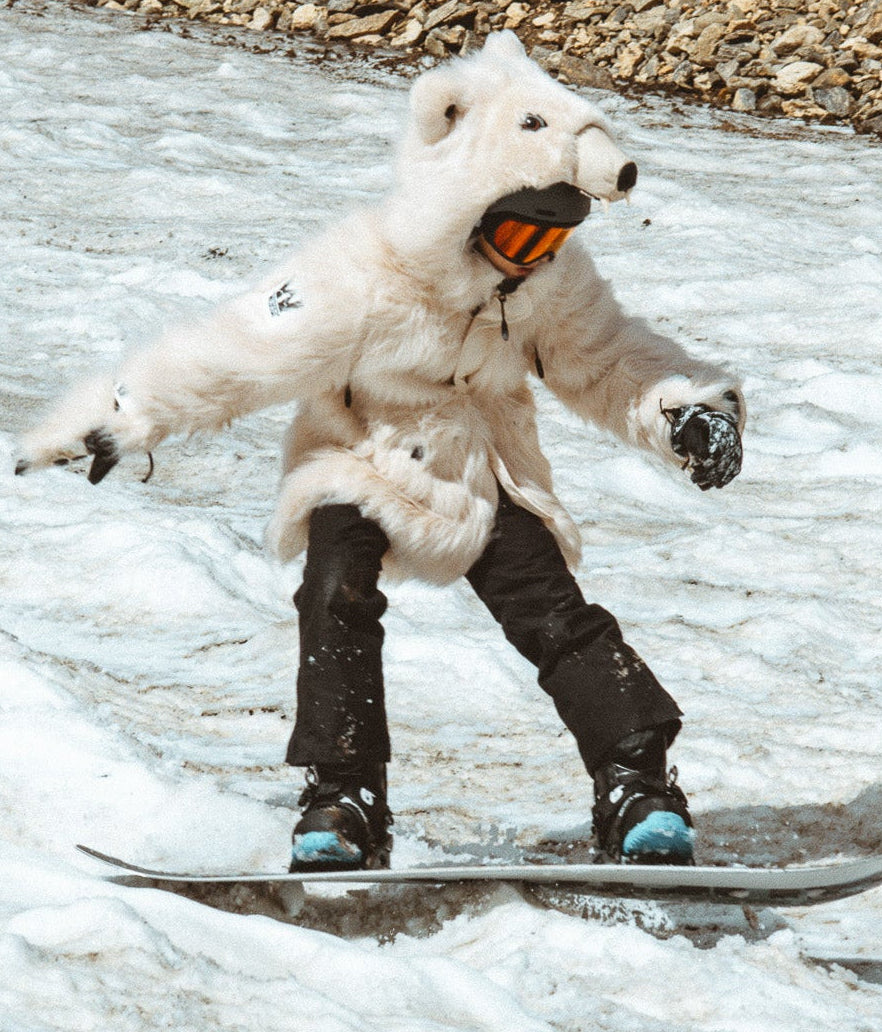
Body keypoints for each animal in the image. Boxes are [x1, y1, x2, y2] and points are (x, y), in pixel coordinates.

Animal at [16, 32, 745, 869]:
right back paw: (337, 815)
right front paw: (94, 433)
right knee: (339, 605)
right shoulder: (344, 292)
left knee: (567, 623)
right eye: (533, 123)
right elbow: (236, 359)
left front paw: (704, 427)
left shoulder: (562, 294)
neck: (472, 291)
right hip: (356, 494)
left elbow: (607, 360)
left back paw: (643, 806)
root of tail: (451, 546)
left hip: (517, 518)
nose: (622, 173)